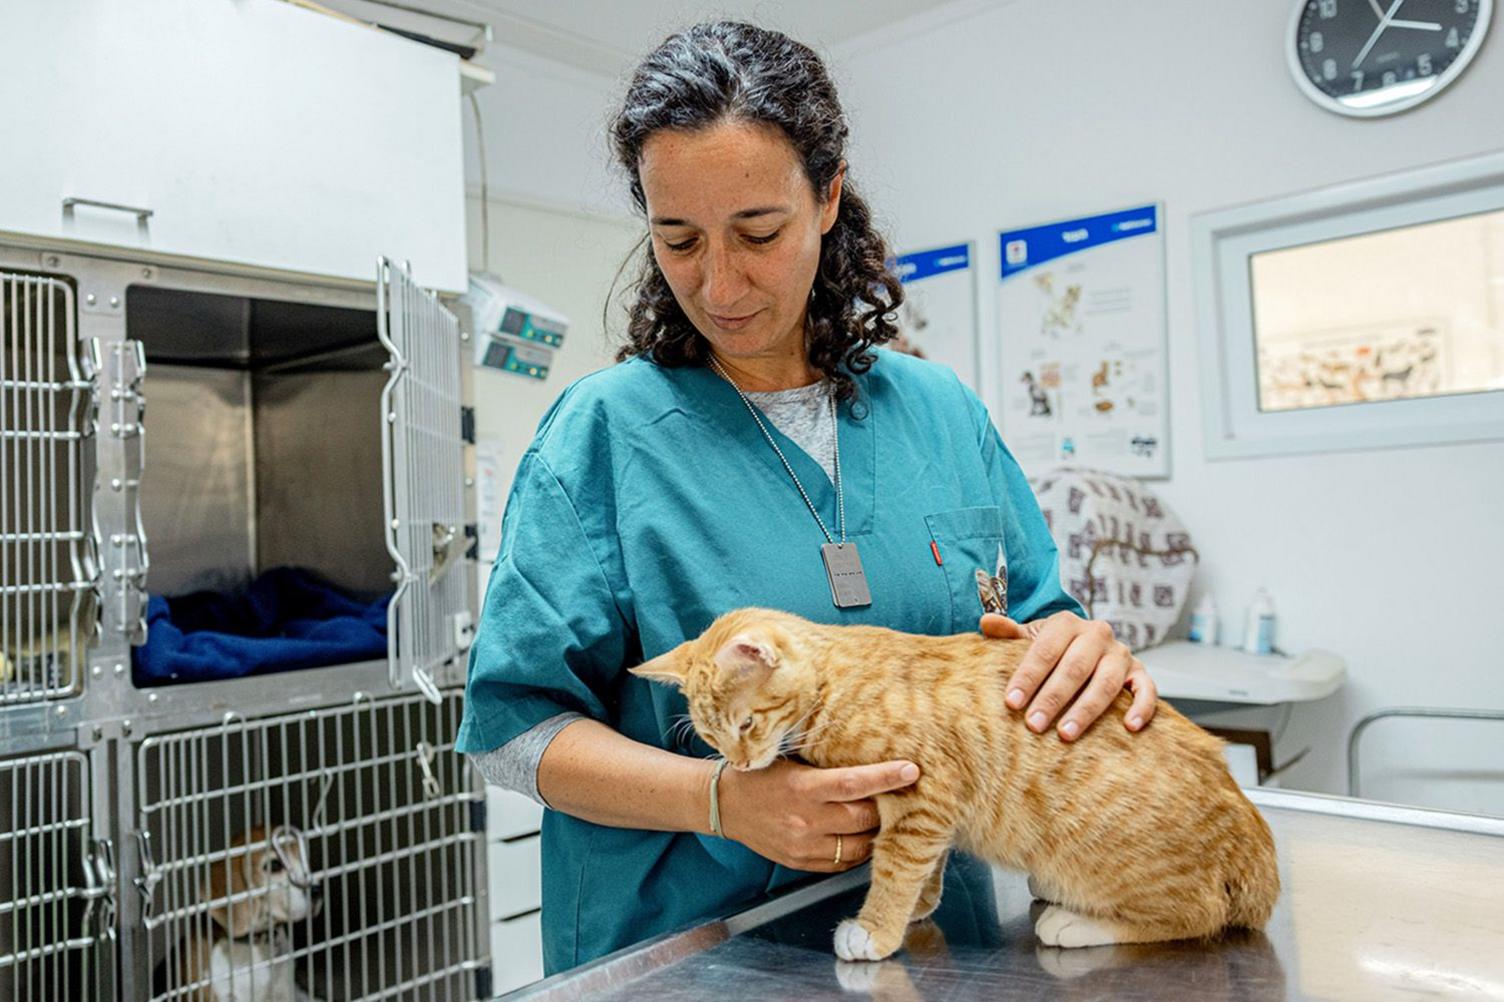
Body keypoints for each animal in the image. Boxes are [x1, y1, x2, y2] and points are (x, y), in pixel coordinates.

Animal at [628, 604, 1275, 956]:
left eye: (746, 723)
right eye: (711, 739)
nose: (739, 766)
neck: (837, 683)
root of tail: (1255, 848)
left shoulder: (921, 793)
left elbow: (894, 863)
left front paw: (877, 928)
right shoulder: (925, 808)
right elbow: (922, 860)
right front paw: (919, 903)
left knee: (1198, 916)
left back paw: (1077, 923)